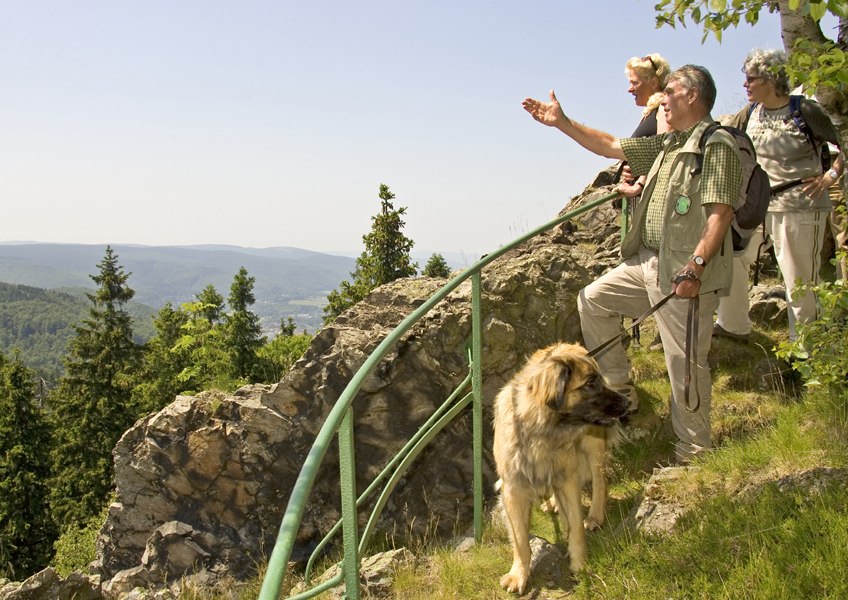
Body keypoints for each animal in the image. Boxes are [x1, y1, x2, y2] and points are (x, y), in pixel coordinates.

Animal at [490, 344, 628, 592]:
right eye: (590, 383)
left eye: (598, 380)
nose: (626, 402)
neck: (539, 432)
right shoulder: (513, 489)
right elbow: (520, 539)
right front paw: (519, 574)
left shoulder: (568, 479)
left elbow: (576, 526)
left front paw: (580, 563)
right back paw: (554, 504)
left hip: (592, 447)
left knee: (600, 482)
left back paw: (595, 516)